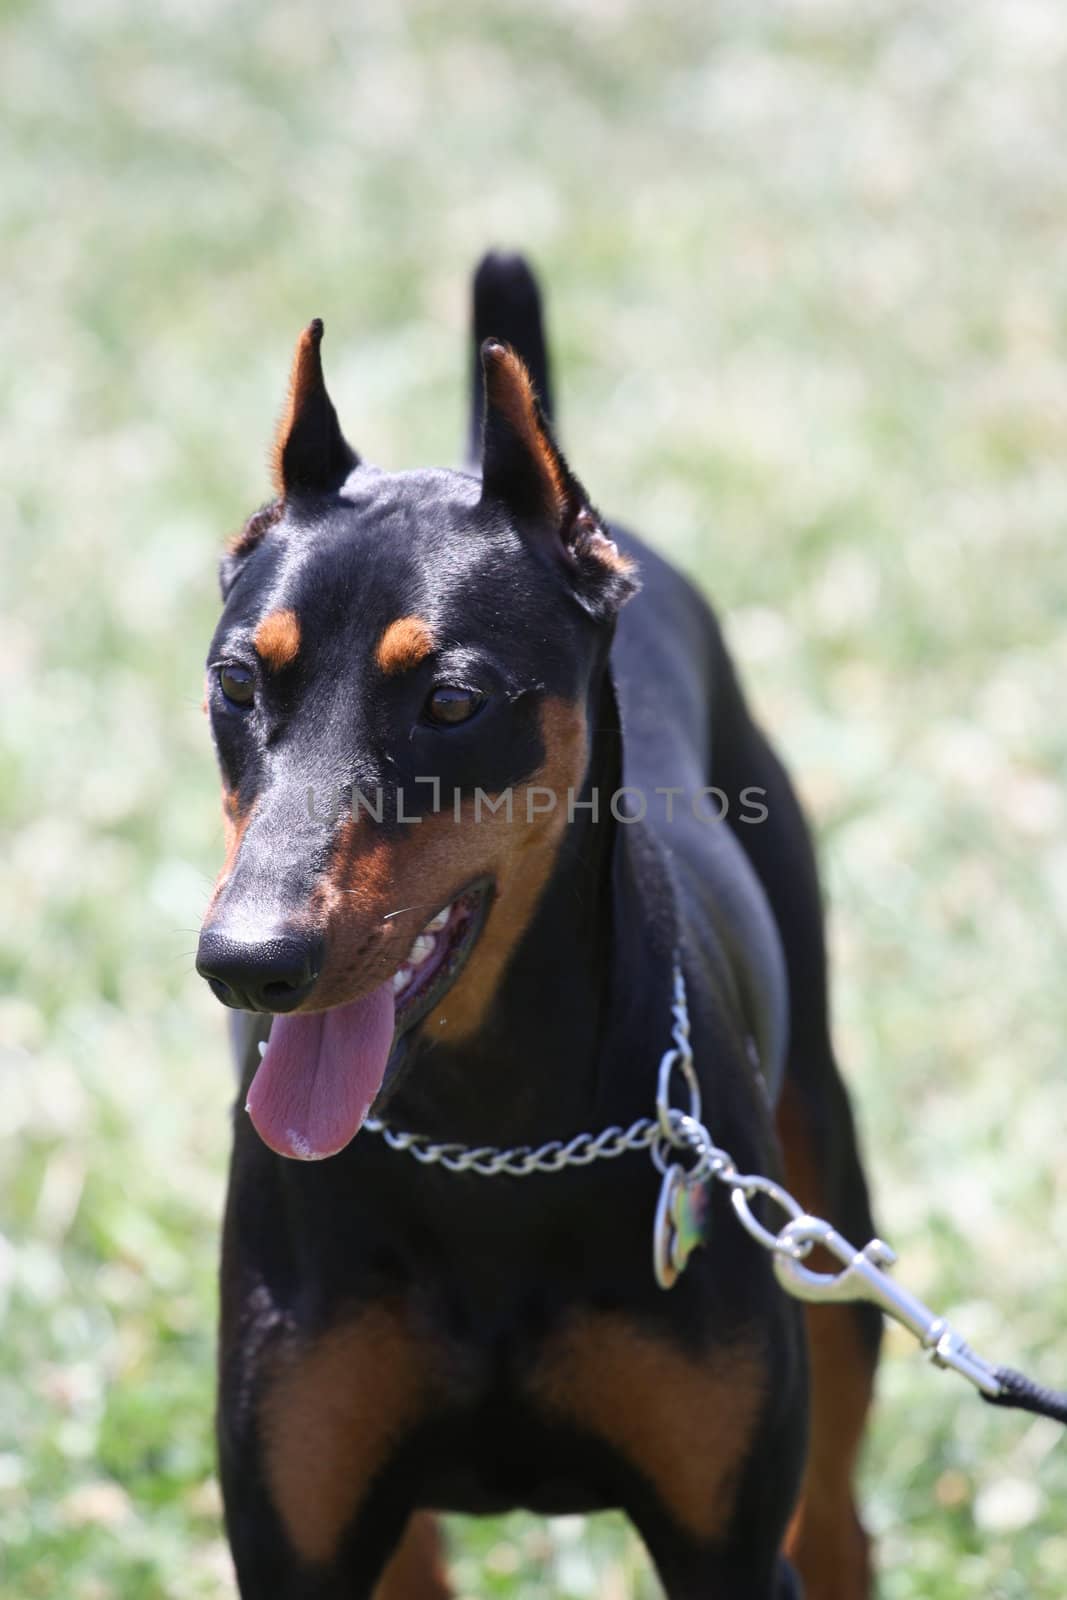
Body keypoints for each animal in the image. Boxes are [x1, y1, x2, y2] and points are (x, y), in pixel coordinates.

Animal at [195, 256, 883, 1593]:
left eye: (452, 701)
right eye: (238, 683)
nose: (246, 962)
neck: (486, 1137)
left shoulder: (724, 1545)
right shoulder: (294, 1535)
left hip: (825, 1198)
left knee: (836, 1509)